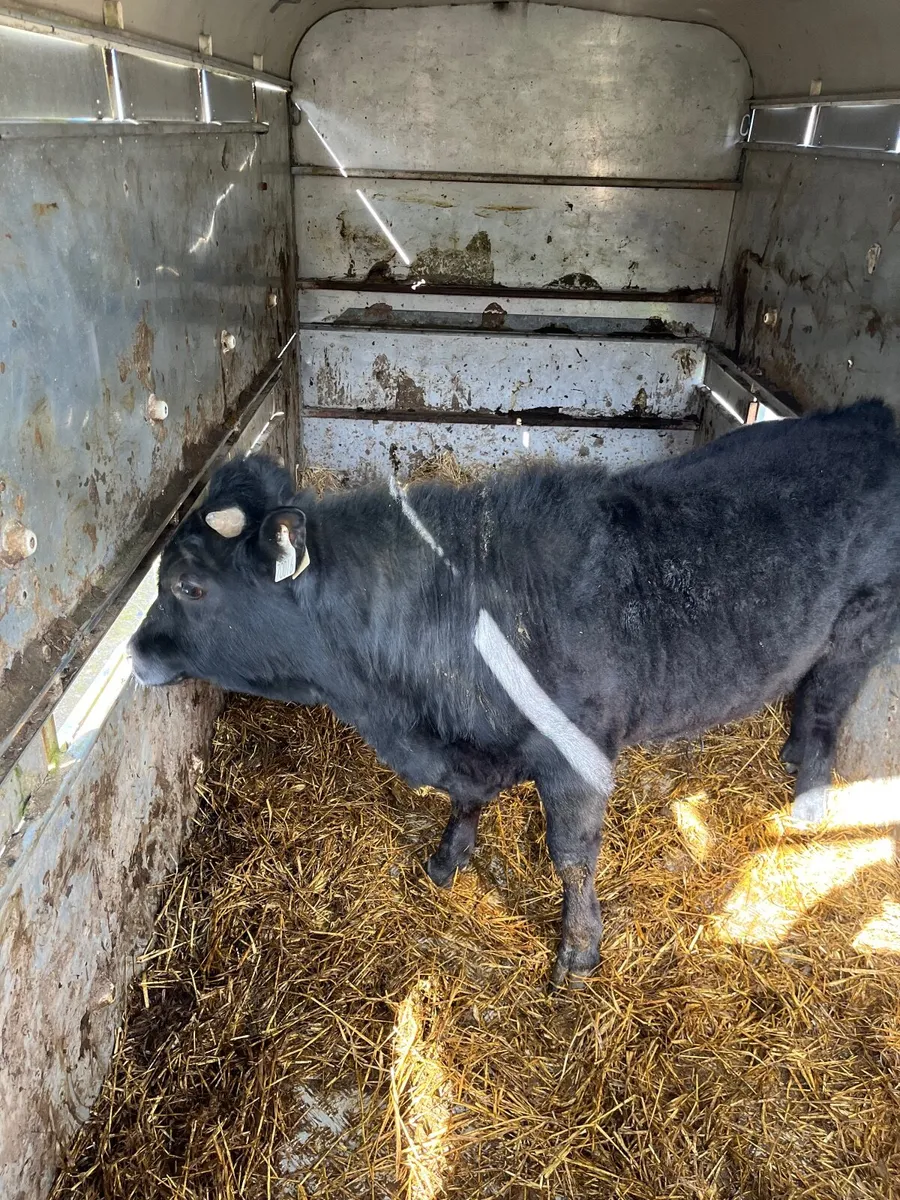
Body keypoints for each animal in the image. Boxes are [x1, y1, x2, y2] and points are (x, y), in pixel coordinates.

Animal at [129, 399, 900, 988]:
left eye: (189, 586)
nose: (135, 653)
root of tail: (869, 415)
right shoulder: (465, 749)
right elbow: (466, 802)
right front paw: (447, 860)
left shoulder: (577, 756)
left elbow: (572, 856)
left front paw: (579, 951)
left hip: (860, 629)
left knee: (825, 713)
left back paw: (809, 803)